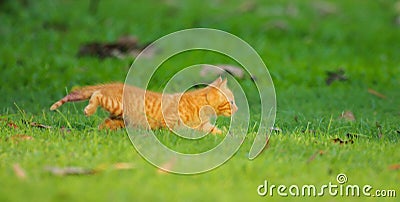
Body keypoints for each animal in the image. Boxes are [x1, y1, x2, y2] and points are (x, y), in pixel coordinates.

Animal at [50, 77, 238, 134]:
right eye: (232, 102)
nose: (237, 109)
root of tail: (114, 84)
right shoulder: (171, 121)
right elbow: (178, 130)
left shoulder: (203, 125)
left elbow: (214, 130)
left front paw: (229, 135)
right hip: (117, 105)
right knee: (97, 95)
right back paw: (89, 109)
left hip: (120, 119)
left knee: (105, 123)